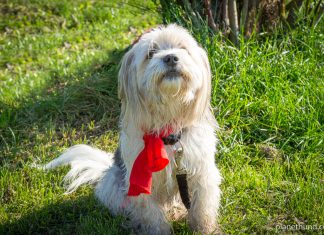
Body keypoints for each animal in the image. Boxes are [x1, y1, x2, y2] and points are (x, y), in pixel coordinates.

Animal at [45, 24, 221, 235]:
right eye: (151, 53)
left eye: (182, 48)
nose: (171, 58)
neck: (167, 128)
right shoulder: (140, 185)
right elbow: (153, 217)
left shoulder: (201, 174)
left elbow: (202, 209)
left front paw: (206, 229)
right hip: (114, 188)